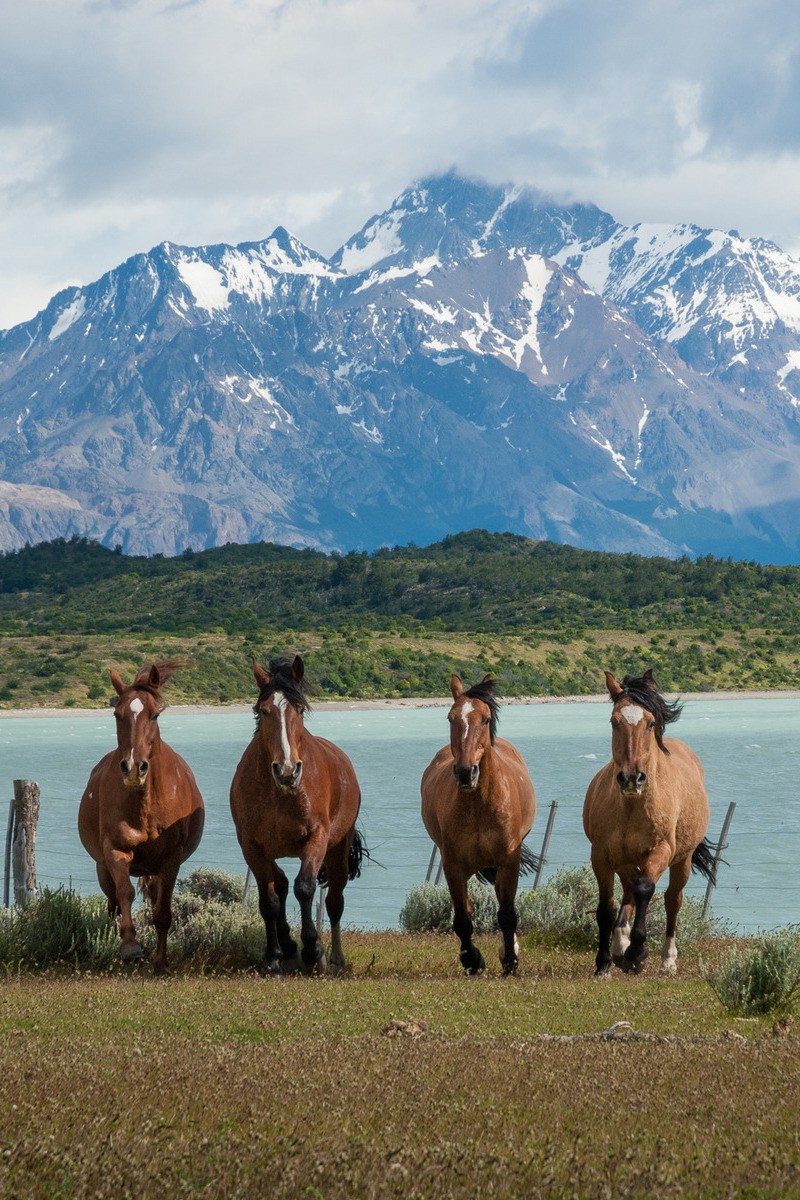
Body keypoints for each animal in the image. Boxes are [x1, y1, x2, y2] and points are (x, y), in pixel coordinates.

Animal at [78, 660, 205, 973]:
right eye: (116, 714)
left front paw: (160, 962)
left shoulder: (170, 859)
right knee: (112, 904)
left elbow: (162, 912)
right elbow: (125, 894)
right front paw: (130, 946)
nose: (134, 768)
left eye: (155, 715)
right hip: (102, 869)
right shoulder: (116, 851)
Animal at [229, 655, 364, 975]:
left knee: (334, 900)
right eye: (262, 710)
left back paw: (334, 958)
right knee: (280, 883)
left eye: (300, 710)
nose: (288, 770)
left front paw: (313, 949)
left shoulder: (317, 838)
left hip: (338, 850)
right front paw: (274, 957)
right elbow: (269, 900)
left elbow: (305, 888)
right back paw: (290, 947)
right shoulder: (251, 846)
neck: (282, 793)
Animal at [421, 673, 537, 975]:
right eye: (450, 718)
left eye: (485, 719)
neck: (479, 806)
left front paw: (510, 961)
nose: (465, 772)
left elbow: (507, 914)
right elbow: (463, 918)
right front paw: (472, 960)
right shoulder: (453, 865)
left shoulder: (508, 860)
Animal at [583, 669, 716, 977]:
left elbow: (646, 889)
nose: (632, 778)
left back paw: (667, 961)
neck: (631, 807)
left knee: (671, 900)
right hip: (626, 861)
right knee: (628, 893)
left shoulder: (661, 851)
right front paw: (604, 963)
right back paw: (620, 947)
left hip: (682, 861)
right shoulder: (601, 855)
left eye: (651, 722)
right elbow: (606, 908)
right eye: (614, 721)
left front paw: (638, 953)